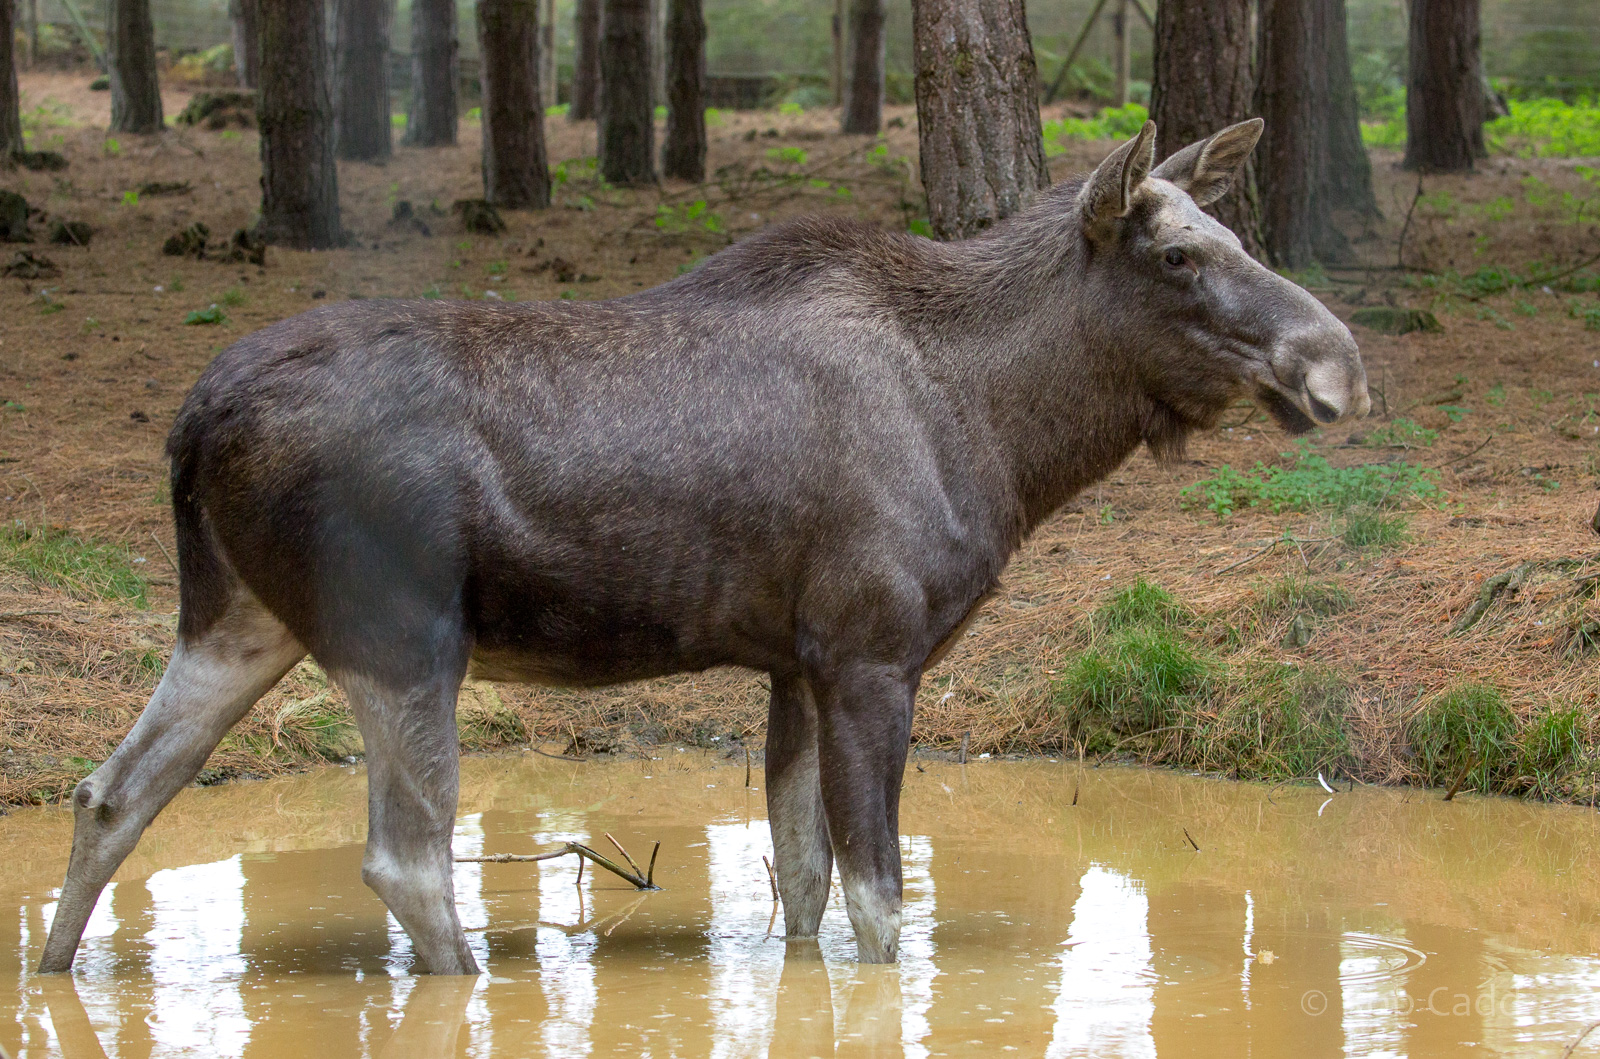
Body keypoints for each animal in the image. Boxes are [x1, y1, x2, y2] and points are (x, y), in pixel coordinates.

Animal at [40, 119, 1368, 975]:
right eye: (1180, 255)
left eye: (1237, 235)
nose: (1339, 363)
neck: (1003, 434)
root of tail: (192, 422)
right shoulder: (871, 652)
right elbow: (880, 908)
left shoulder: (793, 659)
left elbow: (804, 886)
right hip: (400, 636)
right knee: (405, 859)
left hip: (238, 620)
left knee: (112, 794)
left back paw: (54, 972)